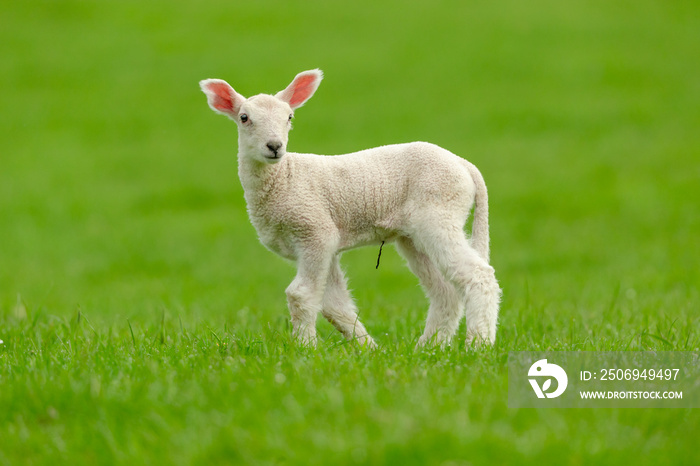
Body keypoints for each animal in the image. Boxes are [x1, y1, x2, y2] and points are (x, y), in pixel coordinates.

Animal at [200, 69, 500, 350]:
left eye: (289, 118)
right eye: (244, 118)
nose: (274, 146)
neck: (284, 177)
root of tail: (465, 165)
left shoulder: (315, 231)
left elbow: (300, 294)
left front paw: (306, 349)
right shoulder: (320, 244)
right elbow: (333, 305)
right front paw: (369, 349)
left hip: (439, 213)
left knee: (479, 276)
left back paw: (478, 345)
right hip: (414, 236)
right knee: (445, 291)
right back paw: (429, 348)